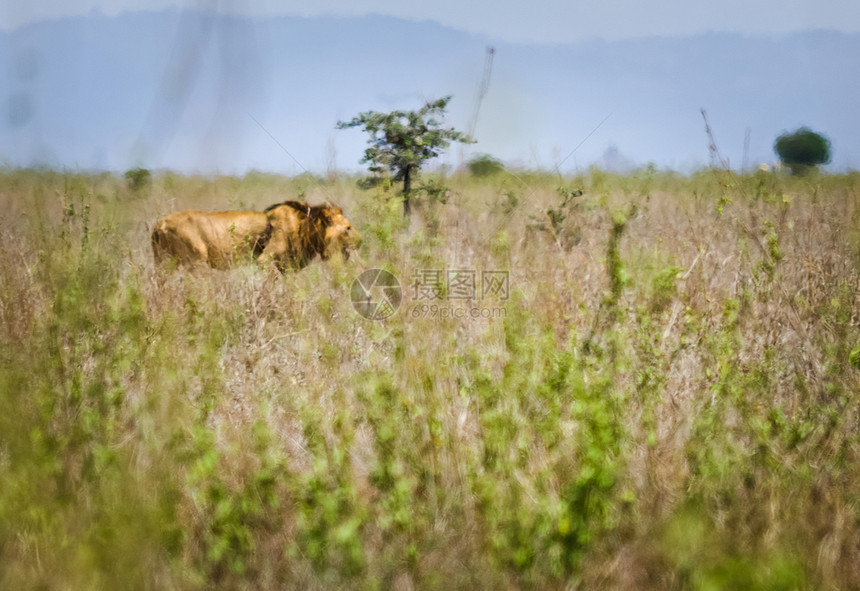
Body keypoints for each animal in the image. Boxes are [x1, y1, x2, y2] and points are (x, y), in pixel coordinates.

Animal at [151, 200, 360, 272]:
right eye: (348, 228)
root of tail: (159, 223)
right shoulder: (264, 260)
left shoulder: (287, 266)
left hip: (164, 264)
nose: (361, 241)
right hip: (196, 260)